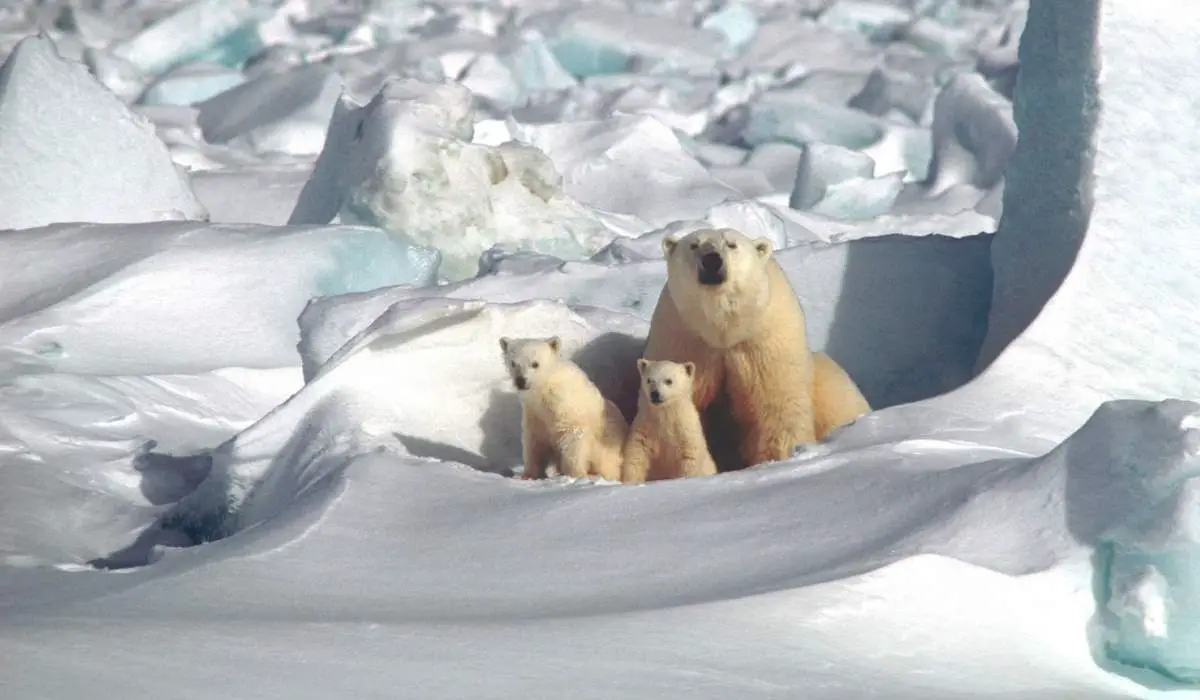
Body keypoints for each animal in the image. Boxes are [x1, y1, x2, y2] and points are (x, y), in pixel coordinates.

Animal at [499, 336, 628, 482]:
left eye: (535, 364)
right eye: (513, 363)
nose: (520, 381)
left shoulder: (568, 409)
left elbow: (574, 438)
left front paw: (575, 475)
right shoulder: (534, 413)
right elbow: (534, 441)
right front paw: (525, 475)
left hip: (607, 443)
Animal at [619, 357, 710, 485]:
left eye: (669, 381)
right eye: (649, 380)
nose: (655, 394)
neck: (665, 416)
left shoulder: (685, 432)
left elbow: (690, 457)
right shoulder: (644, 429)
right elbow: (636, 455)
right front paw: (631, 481)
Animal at [643, 226, 868, 473]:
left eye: (731, 244)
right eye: (694, 245)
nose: (712, 260)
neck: (723, 331)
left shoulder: (764, 343)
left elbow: (776, 408)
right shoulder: (685, 340)